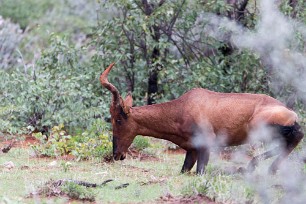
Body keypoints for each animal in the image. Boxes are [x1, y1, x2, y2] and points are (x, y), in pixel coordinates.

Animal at [100, 63, 304, 175]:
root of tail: (290, 113)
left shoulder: (206, 145)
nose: (117, 154)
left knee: (295, 137)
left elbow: (200, 172)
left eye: (118, 119)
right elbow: (185, 170)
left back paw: (255, 167)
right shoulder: (192, 150)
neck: (184, 106)